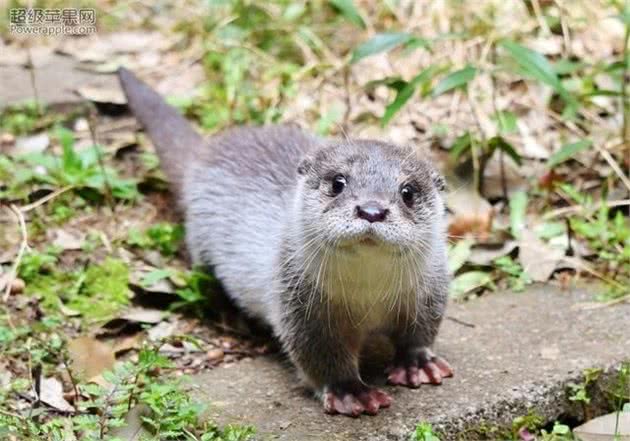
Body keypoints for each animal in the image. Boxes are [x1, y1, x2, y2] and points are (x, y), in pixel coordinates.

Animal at [118, 67, 454, 414]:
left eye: (408, 191)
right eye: (338, 183)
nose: (371, 210)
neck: (368, 298)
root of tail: (205, 154)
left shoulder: (429, 292)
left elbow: (421, 331)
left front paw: (417, 363)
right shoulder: (300, 310)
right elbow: (320, 356)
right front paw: (350, 391)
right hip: (201, 247)